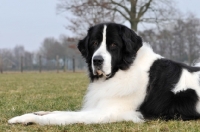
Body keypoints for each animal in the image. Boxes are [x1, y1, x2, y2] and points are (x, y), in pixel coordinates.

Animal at [8, 22, 200, 125]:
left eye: (114, 45)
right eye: (94, 43)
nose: (97, 60)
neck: (123, 70)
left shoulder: (107, 112)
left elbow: (62, 115)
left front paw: (25, 118)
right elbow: (53, 111)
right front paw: (32, 115)